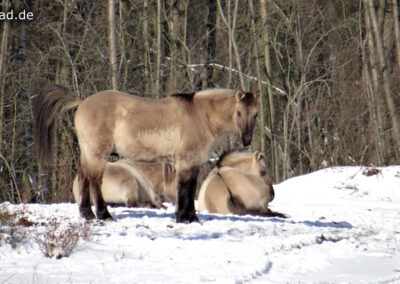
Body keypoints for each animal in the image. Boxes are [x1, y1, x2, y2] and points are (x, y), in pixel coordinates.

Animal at [33, 85, 260, 223]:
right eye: (238, 112)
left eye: (255, 115)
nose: (247, 140)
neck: (200, 115)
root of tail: (82, 102)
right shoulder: (185, 161)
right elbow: (184, 189)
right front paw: (183, 217)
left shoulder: (193, 163)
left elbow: (190, 188)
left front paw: (191, 217)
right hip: (97, 152)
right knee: (95, 179)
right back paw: (104, 214)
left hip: (88, 153)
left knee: (83, 177)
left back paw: (87, 214)